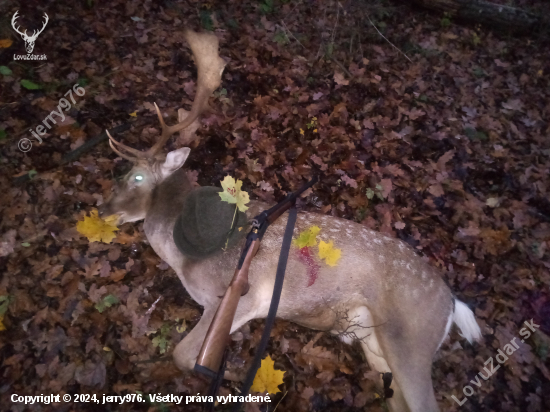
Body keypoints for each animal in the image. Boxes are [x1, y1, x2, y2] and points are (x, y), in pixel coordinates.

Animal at [100, 29, 484, 412]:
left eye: (136, 176)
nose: (104, 210)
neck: (184, 257)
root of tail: (452, 304)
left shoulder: (237, 300)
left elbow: (183, 355)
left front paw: (234, 375)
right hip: (375, 344)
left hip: (412, 341)